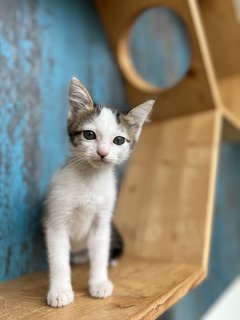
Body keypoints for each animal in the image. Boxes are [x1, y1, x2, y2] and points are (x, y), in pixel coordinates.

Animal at [43, 77, 156, 308]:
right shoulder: (56, 219)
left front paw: (99, 282)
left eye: (119, 140)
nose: (102, 152)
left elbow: (99, 253)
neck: (90, 179)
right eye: (89, 135)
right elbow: (58, 258)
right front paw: (60, 291)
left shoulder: (102, 221)